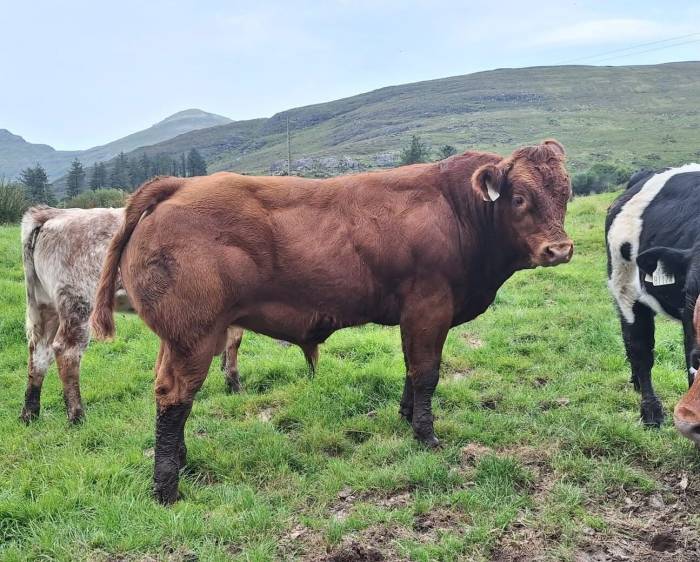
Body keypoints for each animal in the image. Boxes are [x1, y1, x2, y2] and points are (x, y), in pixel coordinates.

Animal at [20, 206, 317, 423]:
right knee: (66, 351)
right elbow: (234, 343)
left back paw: (30, 413)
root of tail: (52, 214)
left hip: (44, 306)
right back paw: (77, 415)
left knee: (39, 351)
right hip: (79, 304)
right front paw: (234, 384)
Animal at [90, 140, 573, 503]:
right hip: (195, 335)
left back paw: (181, 460)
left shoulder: (415, 316)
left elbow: (411, 370)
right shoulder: (430, 307)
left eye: (565, 193)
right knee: (174, 397)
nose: (560, 249)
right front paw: (426, 435)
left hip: (177, 338)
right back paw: (167, 488)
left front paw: (405, 416)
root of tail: (177, 186)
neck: (458, 210)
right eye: (519, 198)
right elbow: (427, 374)